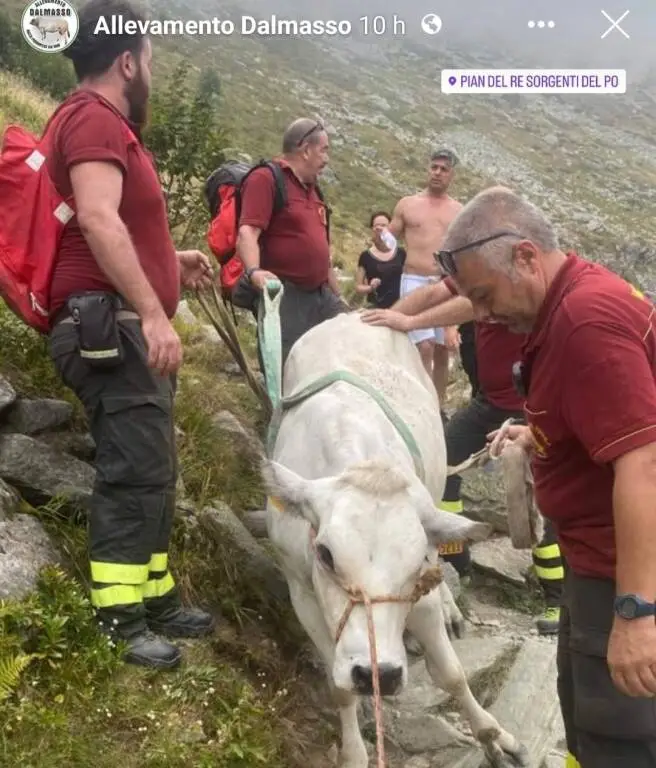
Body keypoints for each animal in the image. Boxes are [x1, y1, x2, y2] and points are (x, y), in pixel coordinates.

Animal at [262, 314, 528, 768]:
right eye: (326, 555)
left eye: (415, 562)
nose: (378, 674)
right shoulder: (302, 591)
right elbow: (340, 689)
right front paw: (354, 753)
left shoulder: (421, 593)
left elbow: (452, 675)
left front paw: (494, 736)